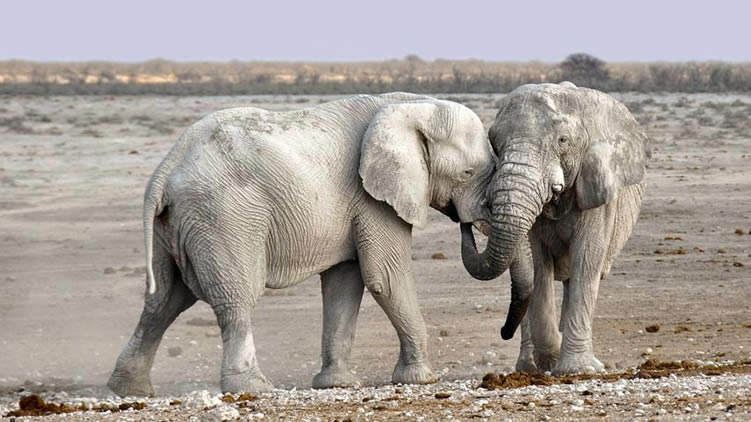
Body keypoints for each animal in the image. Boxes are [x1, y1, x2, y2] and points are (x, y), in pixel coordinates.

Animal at [106, 92, 494, 396]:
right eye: (467, 174)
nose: (466, 223)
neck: (411, 105)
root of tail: (166, 168)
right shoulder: (373, 198)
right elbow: (385, 278)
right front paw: (423, 379)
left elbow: (344, 283)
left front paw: (337, 384)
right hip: (223, 217)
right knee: (235, 298)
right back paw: (254, 388)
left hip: (175, 225)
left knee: (164, 300)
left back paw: (129, 389)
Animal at [462, 83, 648, 376]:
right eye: (494, 143)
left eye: (563, 141)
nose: (503, 332)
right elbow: (538, 265)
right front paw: (552, 359)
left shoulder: (597, 188)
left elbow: (587, 259)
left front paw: (578, 370)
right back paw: (529, 367)